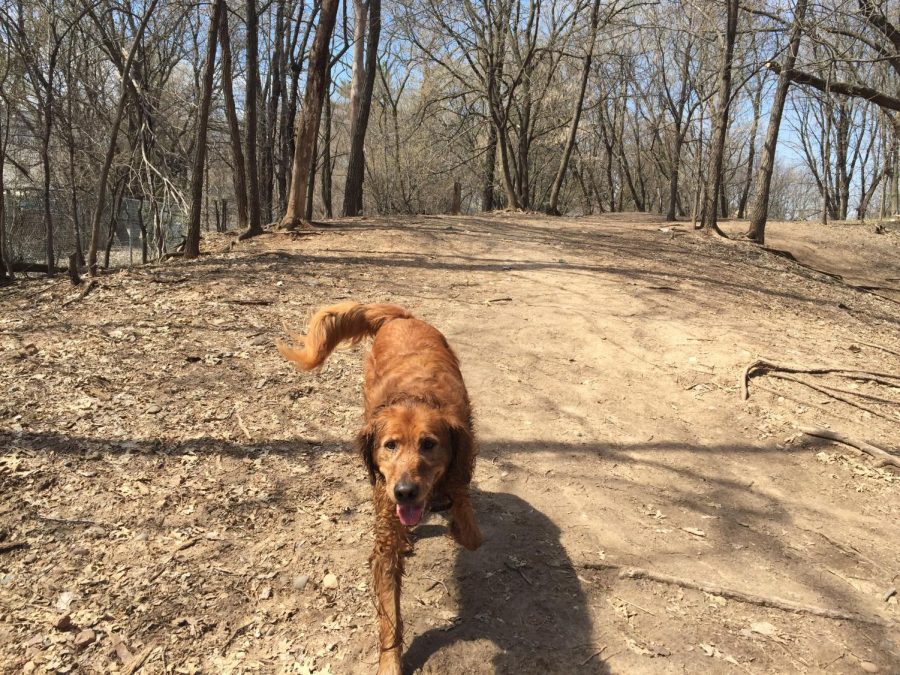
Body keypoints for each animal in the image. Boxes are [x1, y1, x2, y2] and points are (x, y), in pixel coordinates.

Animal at [280, 302, 482, 675]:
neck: (417, 398)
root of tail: (402, 317)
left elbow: (470, 528)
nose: (404, 492)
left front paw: (455, 519)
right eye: (390, 445)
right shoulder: (387, 527)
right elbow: (390, 613)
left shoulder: (460, 464)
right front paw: (390, 661)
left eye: (429, 444)